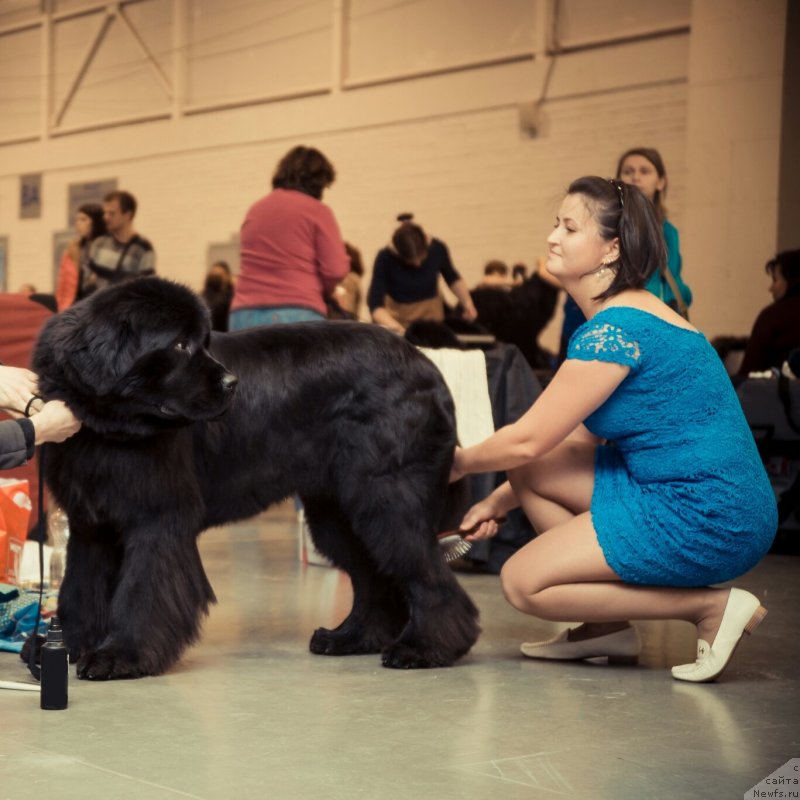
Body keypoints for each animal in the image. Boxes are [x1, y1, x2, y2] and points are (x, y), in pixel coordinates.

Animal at [31, 278, 478, 680]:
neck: (108, 427)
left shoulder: (156, 520)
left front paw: (121, 656)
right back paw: (351, 638)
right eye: (180, 345)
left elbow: (141, 591)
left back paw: (424, 648)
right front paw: (66, 645)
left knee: (427, 574)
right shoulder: (91, 525)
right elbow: (79, 589)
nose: (232, 383)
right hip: (338, 513)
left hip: (386, 499)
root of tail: (427, 367)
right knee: (373, 578)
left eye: (201, 341)